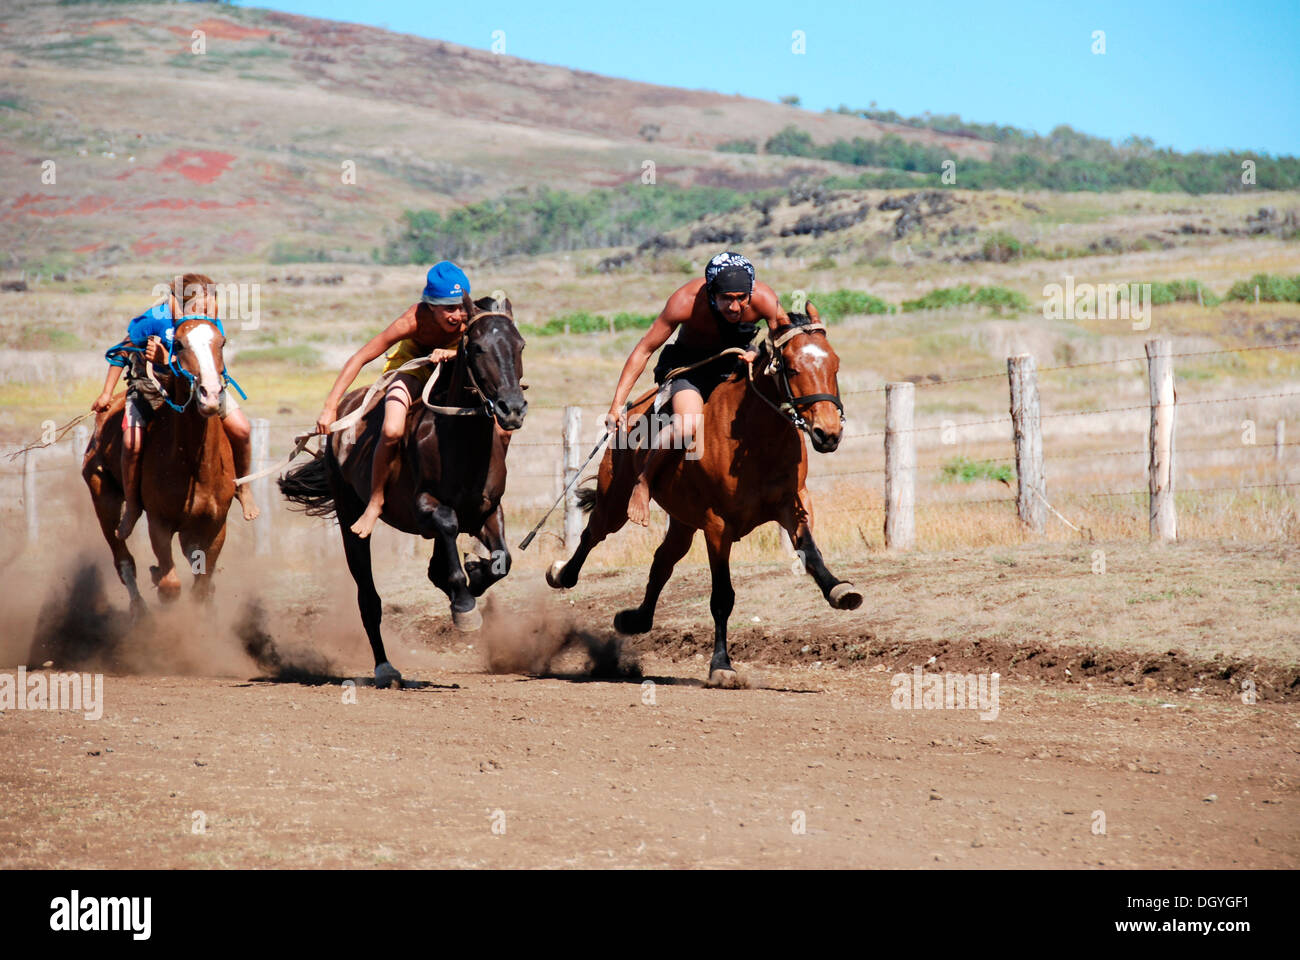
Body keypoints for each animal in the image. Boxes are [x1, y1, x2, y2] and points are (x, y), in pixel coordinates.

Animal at [83, 314, 239, 613]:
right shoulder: (159, 522)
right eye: (178, 344)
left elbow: (202, 584)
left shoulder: (216, 525)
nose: (210, 395)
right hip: (103, 497)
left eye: (222, 342)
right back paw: (140, 611)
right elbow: (170, 585)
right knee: (123, 560)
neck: (196, 466)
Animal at [279, 291, 527, 686]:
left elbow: (502, 561)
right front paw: (464, 604)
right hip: (351, 519)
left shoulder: (488, 510)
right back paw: (385, 667)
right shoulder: (424, 507)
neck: (458, 440)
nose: (512, 409)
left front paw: (473, 576)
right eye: (476, 347)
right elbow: (447, 525)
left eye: (519, 345)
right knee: (368, 598)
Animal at [548, 310, 863, 686]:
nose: (828, 433)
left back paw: (636, 619)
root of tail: (628, 414)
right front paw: (722, 665)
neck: (754, 439)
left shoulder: (792, 505)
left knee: (662, 561)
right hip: (616, 500)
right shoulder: (718, 526)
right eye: (791, 368)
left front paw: (839, 589)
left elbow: (811, 553)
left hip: (682, 522)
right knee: (592, 534)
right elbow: (722, 598)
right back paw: (563, 574)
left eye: (835, 365)